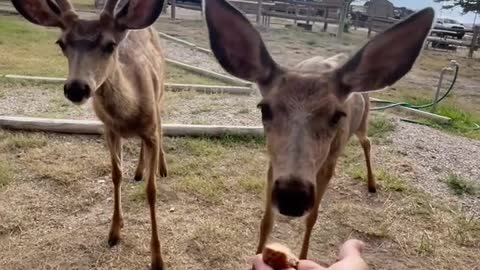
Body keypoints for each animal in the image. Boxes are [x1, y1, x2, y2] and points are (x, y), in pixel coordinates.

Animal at [10, 0, 171, 268]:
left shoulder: (150, 126)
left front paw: (157, 258)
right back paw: (139, 171)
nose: (77, 88)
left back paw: (161, 167)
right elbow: (116, 176)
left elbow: (152, 191)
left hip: (161, 94)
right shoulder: (109, 130)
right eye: (61, 43)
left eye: (110, 45)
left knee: (162, 124)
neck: (128, 115)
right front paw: (115, 231)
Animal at [204, 0, 436, 260]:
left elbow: (312, 218)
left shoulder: (327, 165)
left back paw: (372, 184)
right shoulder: (273, 162)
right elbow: (266, 221)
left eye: (336, 115)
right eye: (265, 109)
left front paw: (304, 257)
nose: (292, 196)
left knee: (367, 142)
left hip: (362, 123)